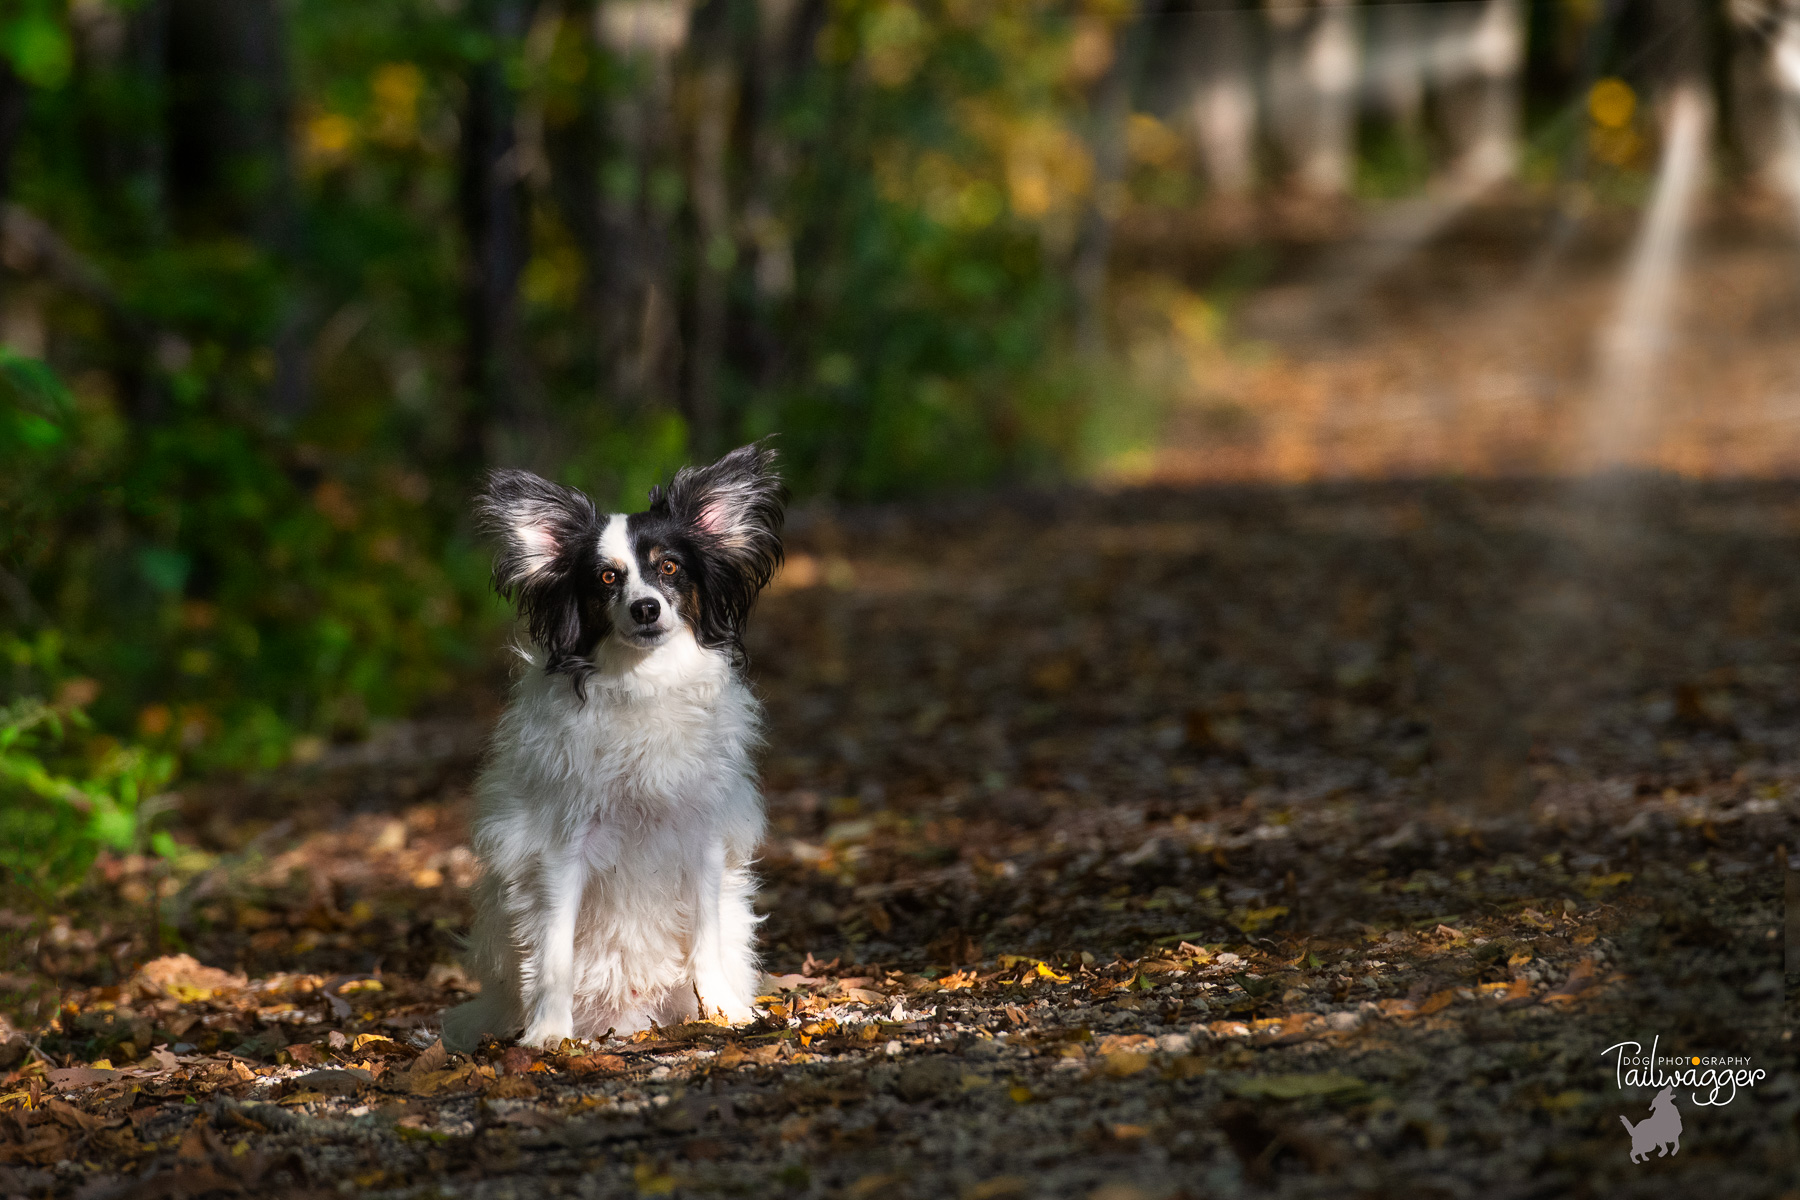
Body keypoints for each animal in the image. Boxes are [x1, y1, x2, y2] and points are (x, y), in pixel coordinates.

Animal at [439, 444, 784, 1050]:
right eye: (605, 578)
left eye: (669, 568)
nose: (646, 608)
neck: (642, 683)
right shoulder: (561, 849)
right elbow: (554, 951)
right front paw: (549, 1035)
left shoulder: (702, 843)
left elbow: (705, 939)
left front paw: (723, 1011)